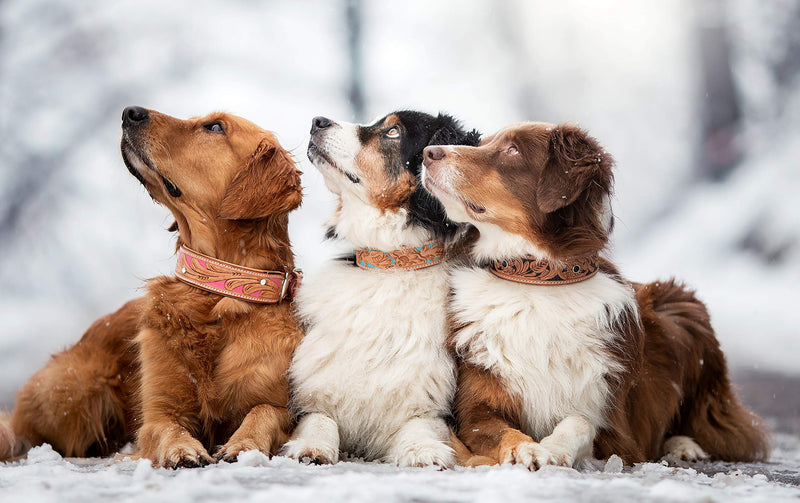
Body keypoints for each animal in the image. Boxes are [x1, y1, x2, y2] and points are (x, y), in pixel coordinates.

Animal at [0, 107, 304, 468]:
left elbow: (264, 411)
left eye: (215, 127)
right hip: (73, 392)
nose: (130, 112)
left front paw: (244, 443)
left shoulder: (283, 403)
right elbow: (166, 427)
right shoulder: (159, 410)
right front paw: (182, 449)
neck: (216, 293)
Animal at [422, 122, 764, 468]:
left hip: (681, 306)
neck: (534, 281)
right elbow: (500, 431)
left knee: (715, 425)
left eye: (512, 150)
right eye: (483, 143)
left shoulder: (618, 427)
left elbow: (580, 421)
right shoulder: (476, 408)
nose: (428, 152)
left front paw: (554, 447)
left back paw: (684, 445)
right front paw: (524, 448)